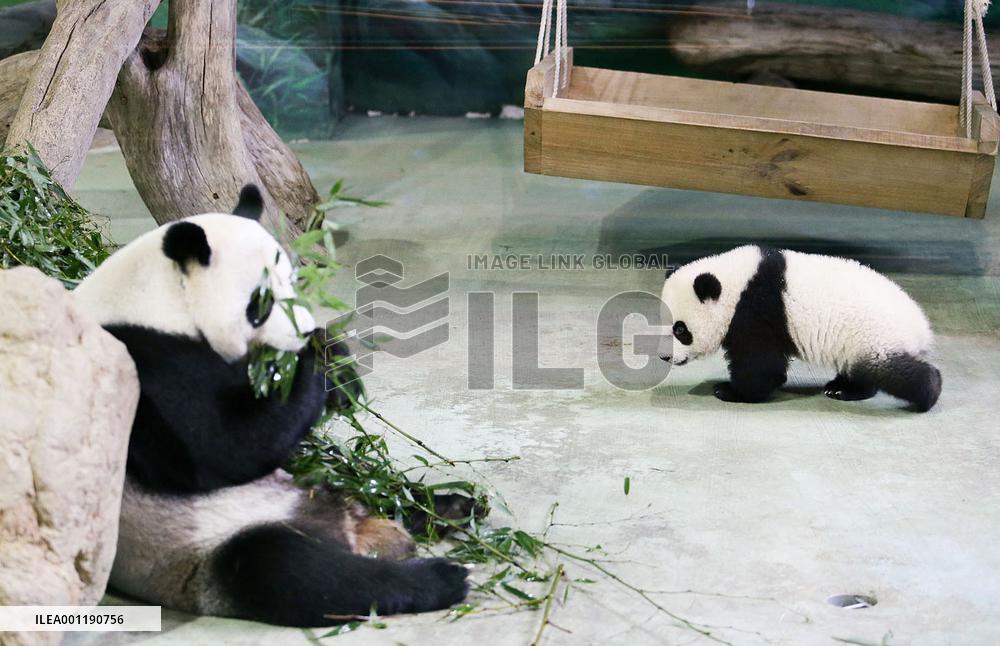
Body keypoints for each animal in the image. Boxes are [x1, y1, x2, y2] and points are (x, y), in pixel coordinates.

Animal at [73, 185, 469, 627]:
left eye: (294, 283)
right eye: (260, 302)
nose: (300, 336)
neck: (156, 300)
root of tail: (346, 525)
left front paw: (338, 367)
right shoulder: (143, 364)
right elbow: (219, 450)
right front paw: (315, 358)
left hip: (325, 477)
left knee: (367, 479)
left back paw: (450, 505)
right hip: (202, 550)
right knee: (291, 570)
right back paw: (440, 578)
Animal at [659, 245, 941, 412]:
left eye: (680, 330)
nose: (664, 356)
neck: (736, 283)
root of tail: (921, 327)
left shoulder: (759, 309)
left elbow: (760, 363)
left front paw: (730, 391)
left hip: (875, 336)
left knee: (895, 371)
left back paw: (929, 393)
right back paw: (841, 387)